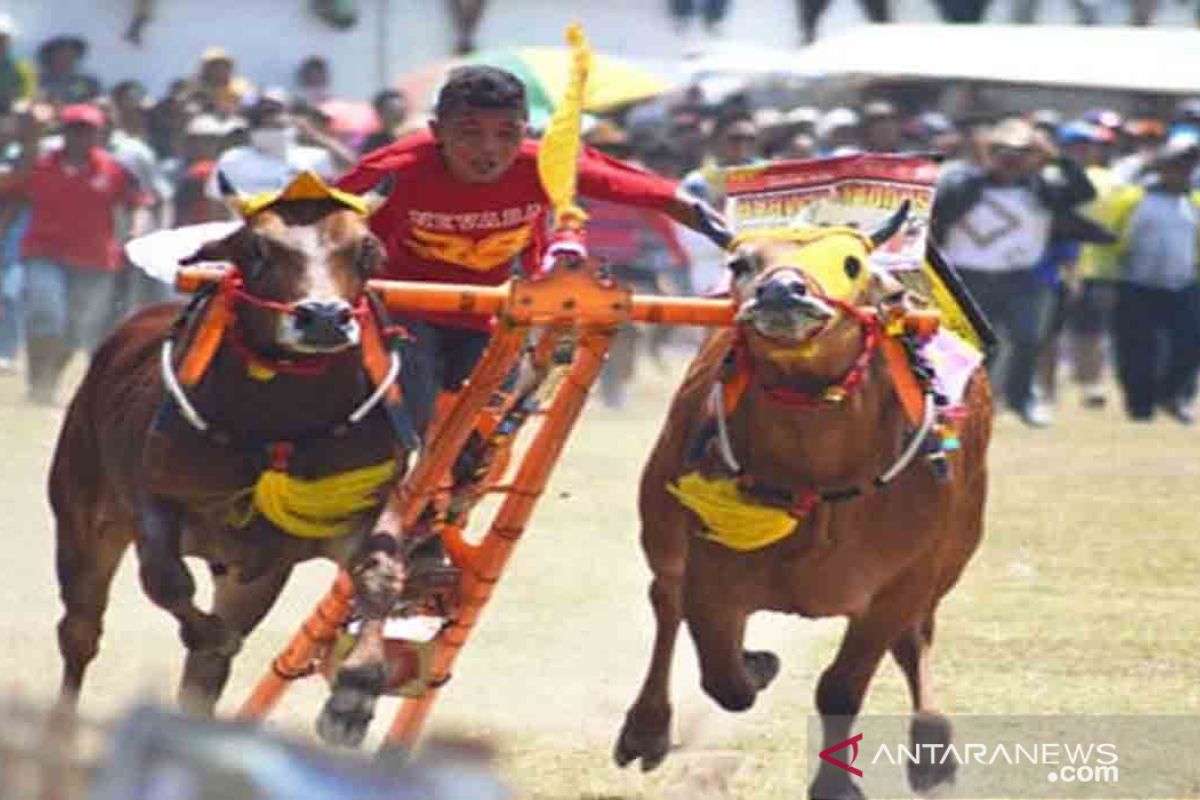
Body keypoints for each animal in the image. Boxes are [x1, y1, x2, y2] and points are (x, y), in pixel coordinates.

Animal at [51, 172, 412, 748]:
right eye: (257, 249)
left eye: (367, 248)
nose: (324, 318)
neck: (279, 424)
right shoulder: (155, 500)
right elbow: (167, 582)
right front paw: (211, 634)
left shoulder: (363, 507)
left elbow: (381, 578)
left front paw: (353, 698)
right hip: (83, 521)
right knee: (81, 632)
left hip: (250, 576)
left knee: (200, 679)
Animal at [614, 212, 988, 800]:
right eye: (741, 263)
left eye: (851, 263)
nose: (781, 291)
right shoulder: (708, 571)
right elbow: (724, 679)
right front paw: (755, 665)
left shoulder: (901, 583)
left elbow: (841, 685)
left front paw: (836, 783)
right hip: (662, 531)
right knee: (665, 602)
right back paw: (648, 728)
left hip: (950, 560)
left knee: (916, 638)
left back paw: (932, 747)